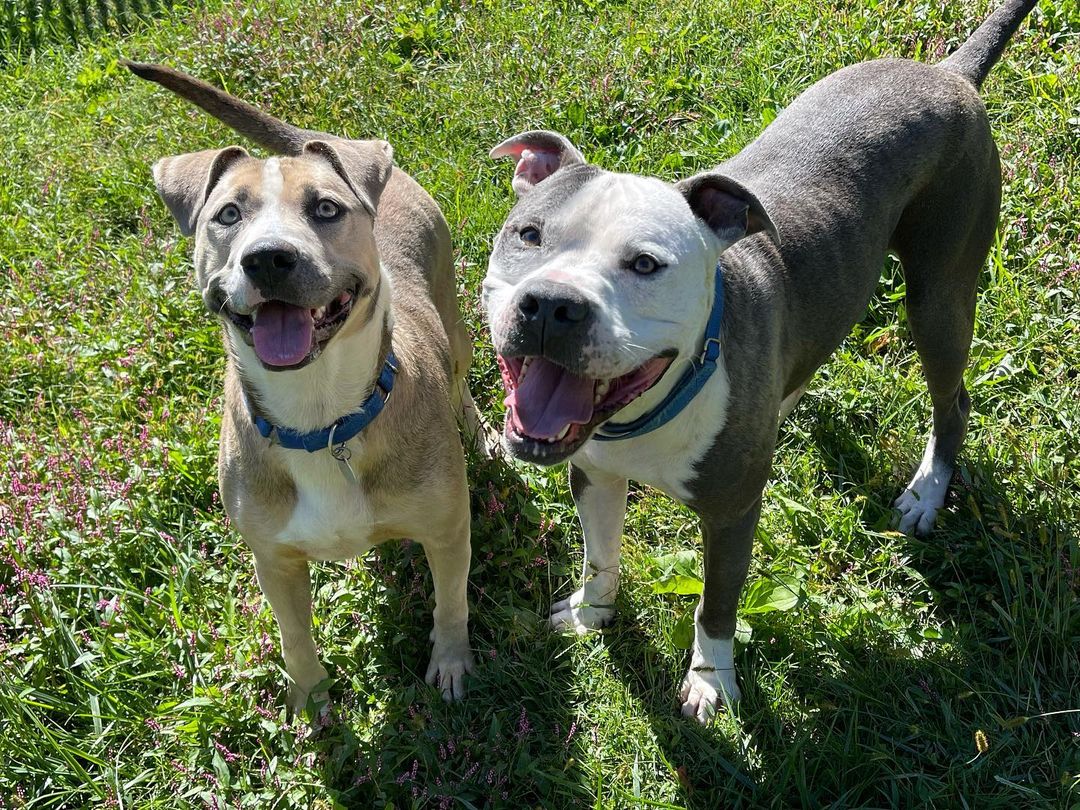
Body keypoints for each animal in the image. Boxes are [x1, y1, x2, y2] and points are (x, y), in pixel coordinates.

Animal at [125, 61, 481, 708]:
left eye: (326, 209)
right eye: (228, 215)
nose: (267, 257)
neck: (320, 415)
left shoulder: (447, 531)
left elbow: (450, 604)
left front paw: (450, 663)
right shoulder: (274, 558)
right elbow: (294, 635)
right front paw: (311, 701)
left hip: (452, 309)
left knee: (462, 374)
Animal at [483, 0, 1036, 721]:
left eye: (645, 264)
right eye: (528, 234)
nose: (551, 305)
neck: (652, 409)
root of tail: (950, 73)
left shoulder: (731, 517)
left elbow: (715, 607)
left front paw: (711, 682)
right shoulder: (594, 474)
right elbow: (599, 556)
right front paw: (591, 613)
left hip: (940, 293)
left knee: (953, 398)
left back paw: (926, 492)